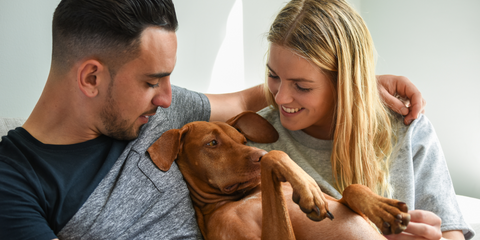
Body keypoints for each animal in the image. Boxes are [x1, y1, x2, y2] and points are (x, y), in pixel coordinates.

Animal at [148, 111, 410, 239]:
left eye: (243, 140)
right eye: (212, 143)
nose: (258, 153)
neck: (244, 196)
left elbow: (352, 188)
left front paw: (384, 209)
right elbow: (275, 155)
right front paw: (308, 189)